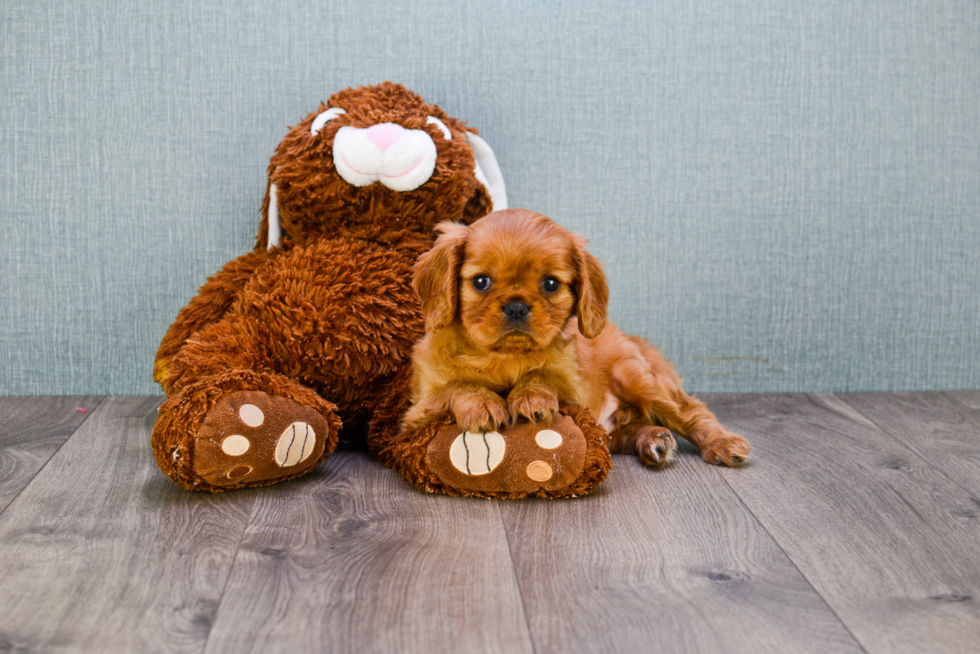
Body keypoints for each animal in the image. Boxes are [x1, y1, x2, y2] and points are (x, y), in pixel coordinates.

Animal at [402, 208, 756, 468]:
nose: (516, 306)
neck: (504, 356)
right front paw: (482, 403)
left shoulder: (576, 392)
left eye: (550, 284)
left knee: (691, 410)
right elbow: (456, 386)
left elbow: (543, 374)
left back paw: (722, 443)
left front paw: (531, 397)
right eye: (481, 281)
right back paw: (653, 440)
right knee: (624, 433)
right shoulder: (415, 414)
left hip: (637, 376)